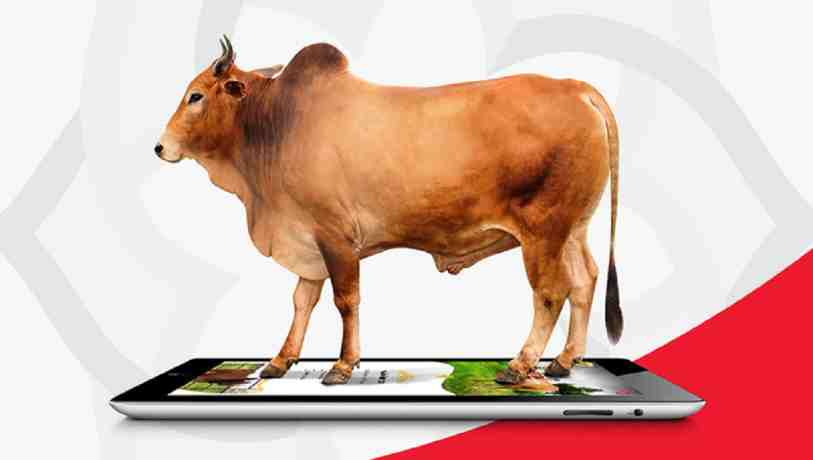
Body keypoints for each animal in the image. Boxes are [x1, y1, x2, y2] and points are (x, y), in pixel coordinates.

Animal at [155, 36, 622, 387]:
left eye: (195, 95)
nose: (160, 147)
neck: (276, 126)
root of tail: (575, 87)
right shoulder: (306, 240)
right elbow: (302, 301)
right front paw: (280, 361)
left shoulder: (337, 238)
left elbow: (346, 300)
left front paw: (343, 366)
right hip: (573, 228)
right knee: (585, 280)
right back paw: (563, 361)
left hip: (543, 230)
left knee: (550, 292)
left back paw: (520, 365)